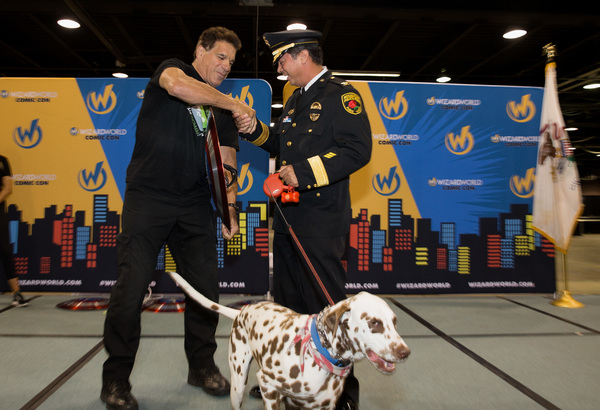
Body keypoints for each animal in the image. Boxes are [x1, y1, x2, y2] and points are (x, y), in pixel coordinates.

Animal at [171, 270, 410, 408]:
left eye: (394, 321)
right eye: (374, 323)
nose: (405, 352)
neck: (319, 352)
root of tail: (243, 310)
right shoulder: (268, 387)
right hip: (238, 385)